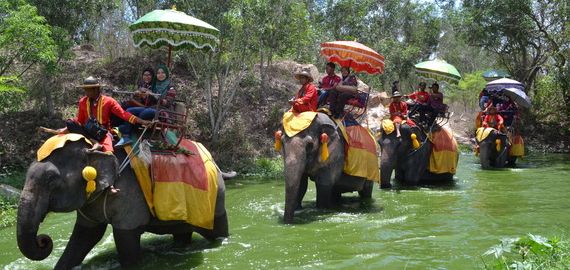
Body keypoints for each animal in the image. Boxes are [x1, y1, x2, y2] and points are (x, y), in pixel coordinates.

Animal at [16, 138, 229, 268]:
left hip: (216, 197)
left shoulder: (129, 194)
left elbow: (125, 238)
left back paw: (221, 241)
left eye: (51, 180)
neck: (95, 147)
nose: (43, 240)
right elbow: (85, 235)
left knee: (216, 230)